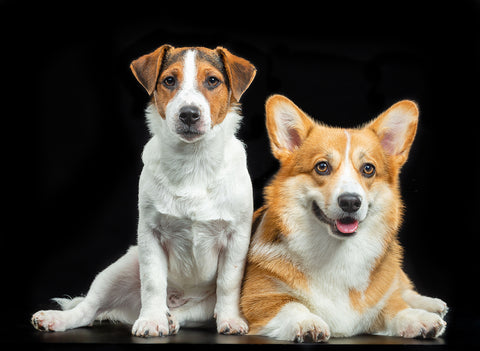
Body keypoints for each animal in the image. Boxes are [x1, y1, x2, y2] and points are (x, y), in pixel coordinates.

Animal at [30, 44, 256, 338]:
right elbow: (152, 282)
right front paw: (151, 320)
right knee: (88, 309)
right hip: (120, 268)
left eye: (212, 81)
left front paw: (231, 319)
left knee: (188, 312)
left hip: (203, 306)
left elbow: (228, 283)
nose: (189, 114)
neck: (193, 161)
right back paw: (57, 319)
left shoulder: (236, 238)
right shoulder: (150, 234)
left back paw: (172, 318)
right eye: (169, 80)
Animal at [242, 95, 448, 342]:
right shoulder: (259, 297)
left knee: (401, 286)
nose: (350, 202)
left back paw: (431, 304)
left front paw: (418, 318)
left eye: (368, 169)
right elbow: (292, 306)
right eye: (322, 167)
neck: (336, 251)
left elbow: (395, 305)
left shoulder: (380, 301)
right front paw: (307, 322)